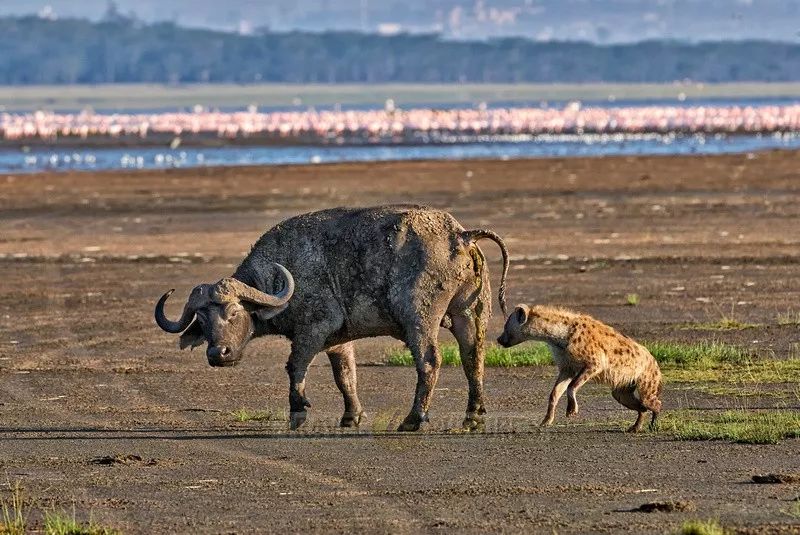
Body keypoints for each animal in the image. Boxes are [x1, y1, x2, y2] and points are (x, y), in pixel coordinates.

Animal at [155, 204, 506, 432]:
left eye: (233, 312)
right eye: (202, 320)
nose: (218, 354)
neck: (282, 276)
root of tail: (460, 235)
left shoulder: (313, 329)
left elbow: (295, 366)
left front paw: (298, 411)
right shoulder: (339, 340)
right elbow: (345, 375)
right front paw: (352, 416)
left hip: (419, 320)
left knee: (430, 362)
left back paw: (413, 419)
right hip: (470, 314)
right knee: (473, 358)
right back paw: (473, 416)